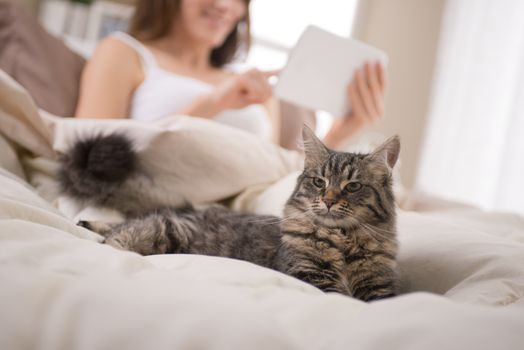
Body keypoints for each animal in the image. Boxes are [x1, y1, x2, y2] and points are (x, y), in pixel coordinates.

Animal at [59, 127, 400, 302]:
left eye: (353, 186)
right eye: (319, 182)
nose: (328, 201)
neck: (343, 240)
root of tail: (190, 210)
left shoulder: (379, 284)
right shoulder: (311, 274)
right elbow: (341, 297)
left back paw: (88, 222)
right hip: (165, 232)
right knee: (118, 238)